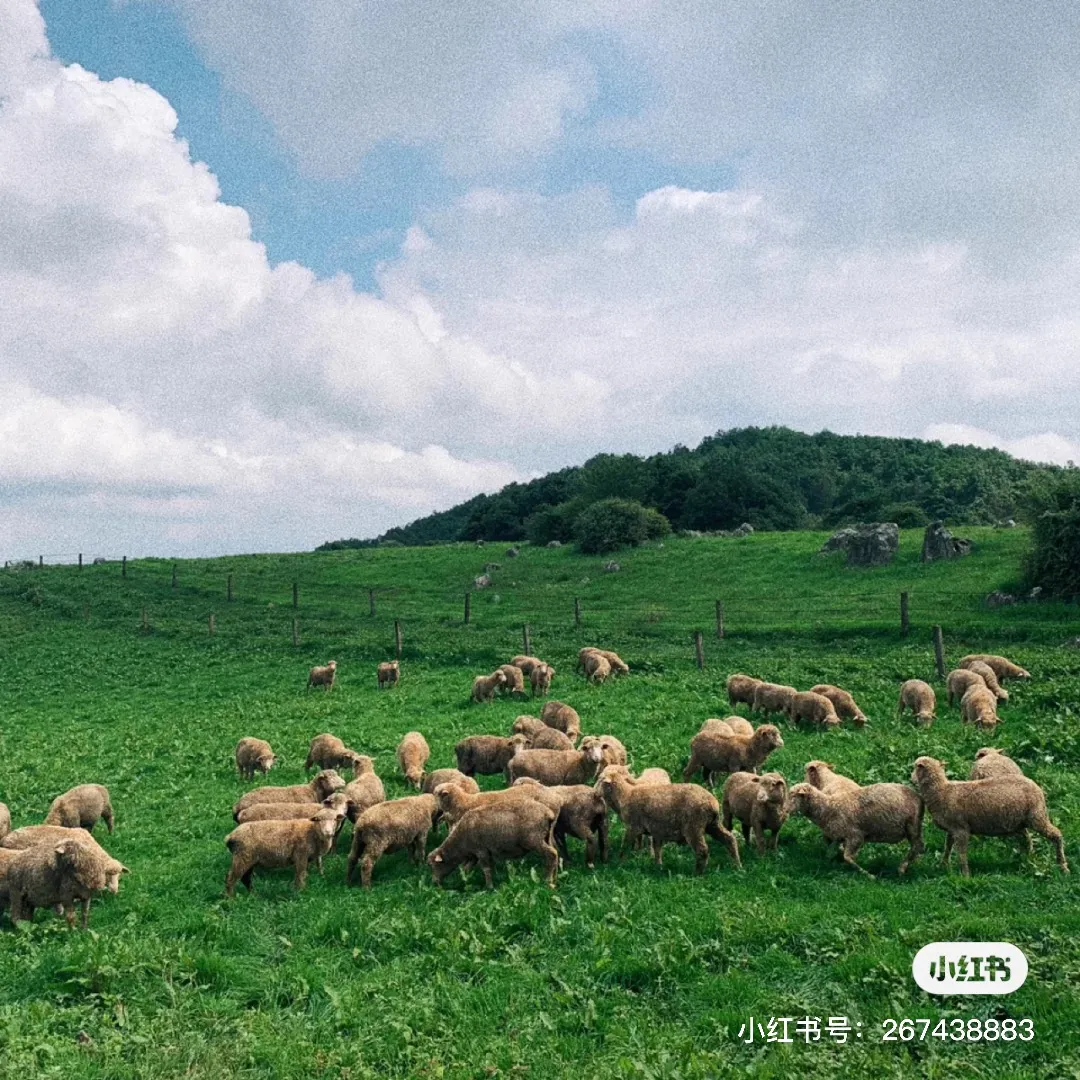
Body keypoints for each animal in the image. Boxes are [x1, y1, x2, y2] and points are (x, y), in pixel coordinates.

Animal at [427, 799, 561, 889]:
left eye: (434, 865)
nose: (434, 882)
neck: (460, 842)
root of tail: (548, 814)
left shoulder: (481, 851)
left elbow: (486, 869)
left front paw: (489, 887)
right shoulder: (476, 854)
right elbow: (467, 868)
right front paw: (465, 881)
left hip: (534, 839)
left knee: (552, 854)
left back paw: (548, 881)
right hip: (546, 836)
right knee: (555, 854)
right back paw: (555, 878)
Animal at [591, 773, 743, 872]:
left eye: (600, 780)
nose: (594, 793)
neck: (625, 795)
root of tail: (712, 803)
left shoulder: (632, 827)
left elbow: (626, 846)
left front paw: (619, 864)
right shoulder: (657, 829)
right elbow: (657, 848)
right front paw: (658, 866)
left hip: (693, 826)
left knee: (702, 849)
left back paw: (698, 873)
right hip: (712, 824)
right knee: (729, 839)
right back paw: (737, 865)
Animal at [786, 781, 928, 872]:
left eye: (793, 795)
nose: (785, 810)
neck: (828, 808)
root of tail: (919, 797)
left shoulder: (855, 835)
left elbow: (847, 857)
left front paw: (868, 874)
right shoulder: (840, 837)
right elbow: (834, 853)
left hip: (912, 824)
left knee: (918, 845)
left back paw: (902, 868)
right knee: (918, 847)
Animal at [907, 756, 1067, 872]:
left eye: (915, 767)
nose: (911, 778)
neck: (941, 791)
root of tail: (1035, 785)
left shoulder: (961, 829)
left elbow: (962, 853)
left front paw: (965, 874)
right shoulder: (952, 829)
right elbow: (947, 847)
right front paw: (943, 865)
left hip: (1037, 816)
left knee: (1056, 834)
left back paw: (1063, 866)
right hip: (1019, 823)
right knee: (1027, 840)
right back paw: (1028, 859)